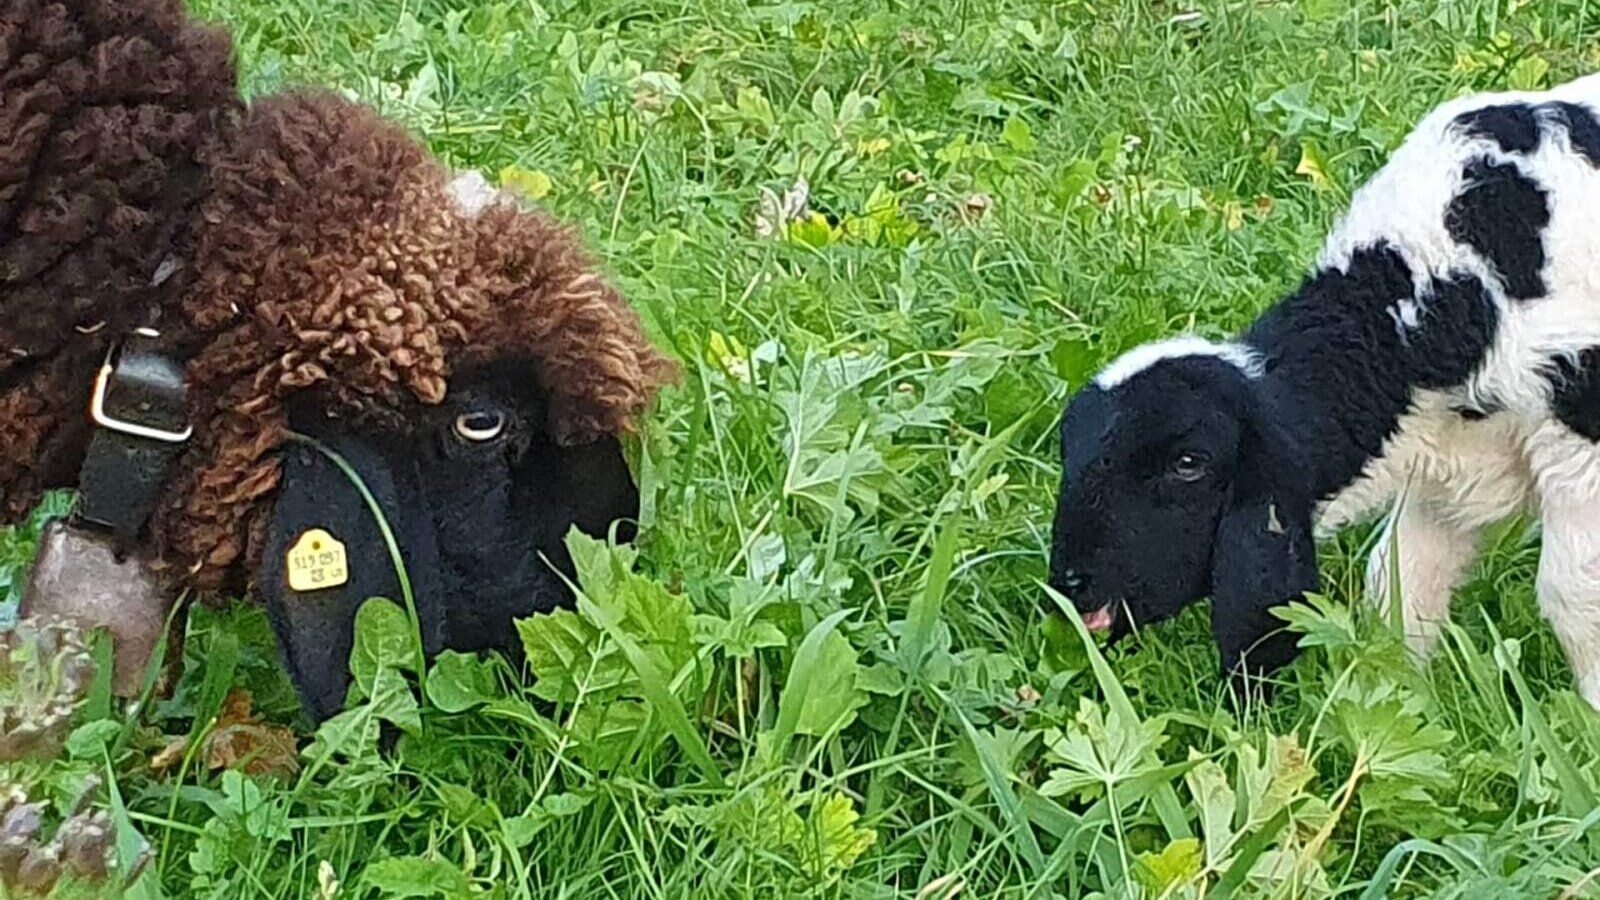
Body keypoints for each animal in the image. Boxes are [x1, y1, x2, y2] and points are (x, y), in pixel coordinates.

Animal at [1048, 71, 1600, 709]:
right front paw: (1392, 699)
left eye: (1189, 463)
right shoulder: (1454, 464)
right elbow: (1399, 585)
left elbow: (1573, 592)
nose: (1069, 584)